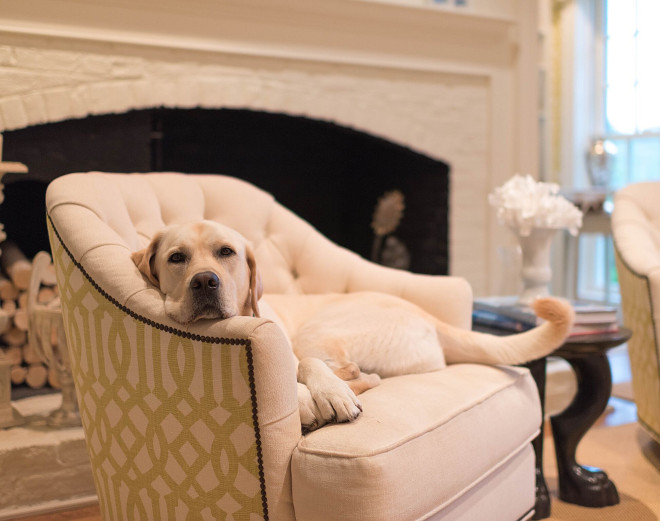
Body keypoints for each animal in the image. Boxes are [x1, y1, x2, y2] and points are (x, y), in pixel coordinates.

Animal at [131, 218, 576, 430]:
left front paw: (329, 395)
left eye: (226, 252)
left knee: (361, 374)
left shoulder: (304, 347)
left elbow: (314, 370)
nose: (206, 282)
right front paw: (315, 399)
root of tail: (425, 314)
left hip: (323, 329)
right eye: (176, 258)